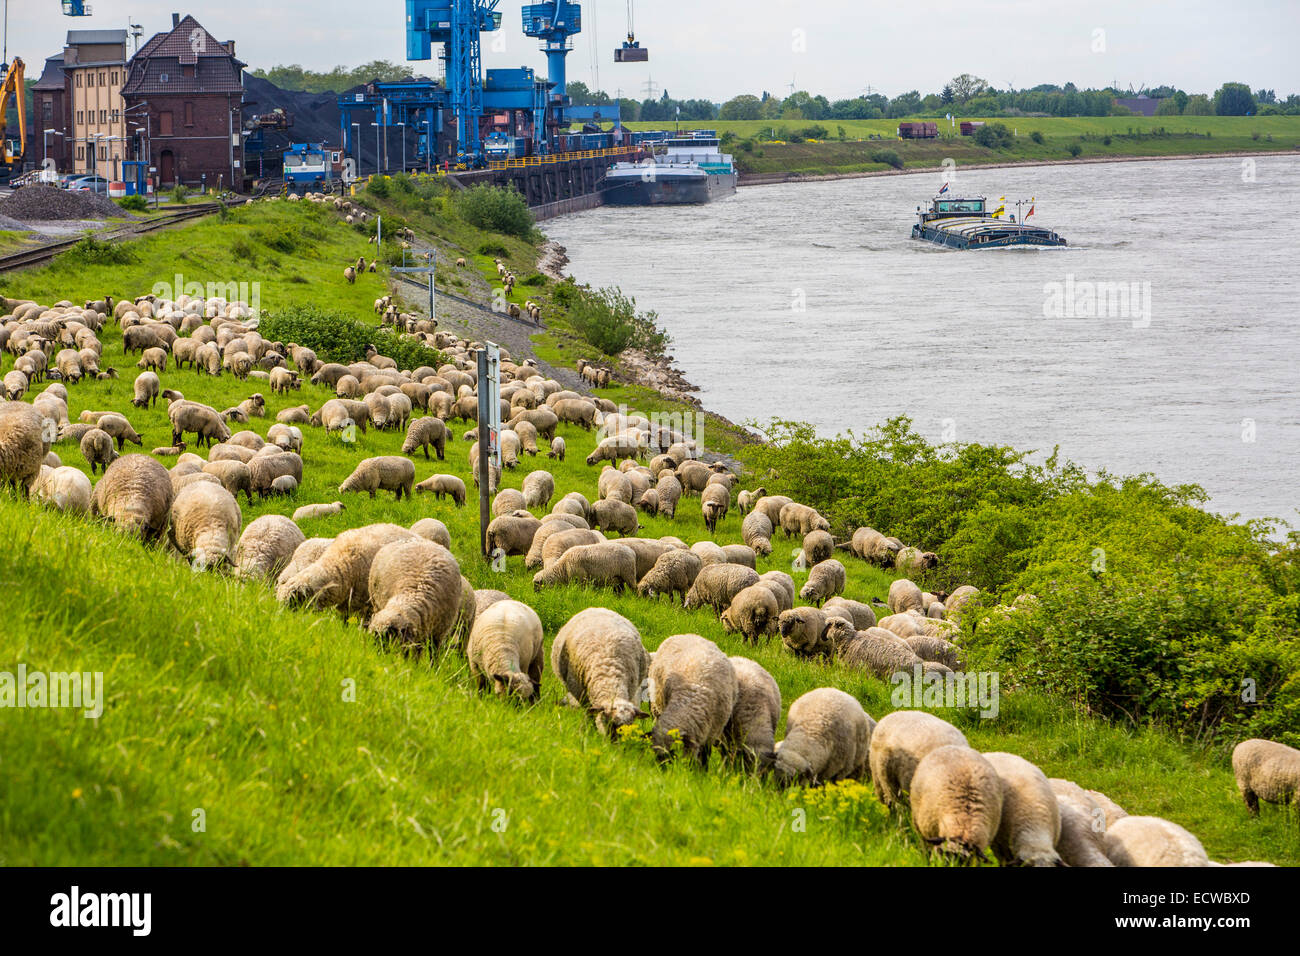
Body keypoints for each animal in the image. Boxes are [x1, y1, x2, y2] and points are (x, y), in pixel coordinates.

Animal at [551, 608, 650, 738]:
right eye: (610, 723)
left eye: (629, 726)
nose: (615, 742)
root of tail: (597, 608)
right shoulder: (581, 694)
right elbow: (589, 713)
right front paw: (589, 730)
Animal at [644, 634, 738, 770]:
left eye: (672, 754)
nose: (662, 771)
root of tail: (684, 634)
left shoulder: (711, 731)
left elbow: (705, 755)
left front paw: (701, 771)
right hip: (656, 707)